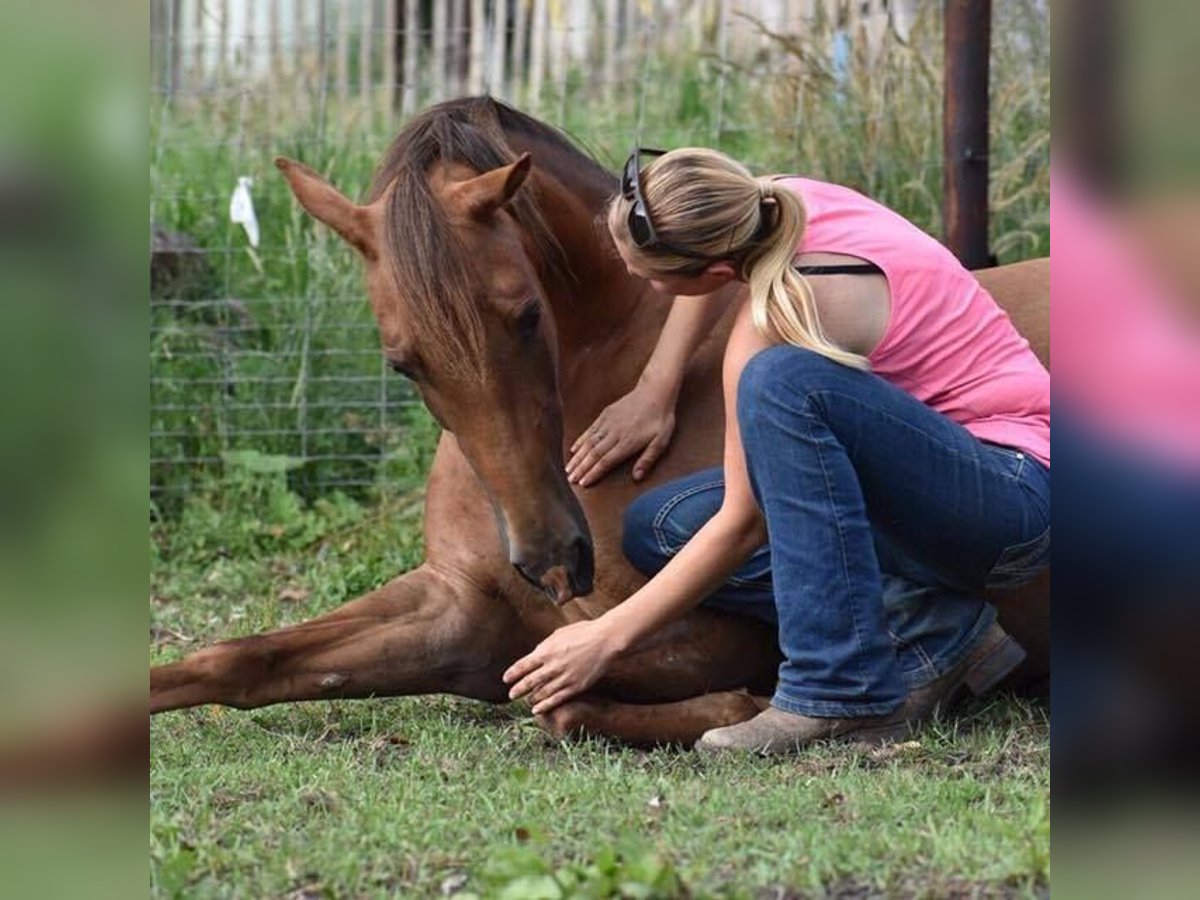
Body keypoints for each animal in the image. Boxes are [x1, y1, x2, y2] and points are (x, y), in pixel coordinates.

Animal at [150, 98, 1051, 748]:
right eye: (403, 362)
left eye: (524, 316)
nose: (552, 559)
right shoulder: (459, 606)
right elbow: (240, 659)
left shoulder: (704, 635)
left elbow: (569, 700)